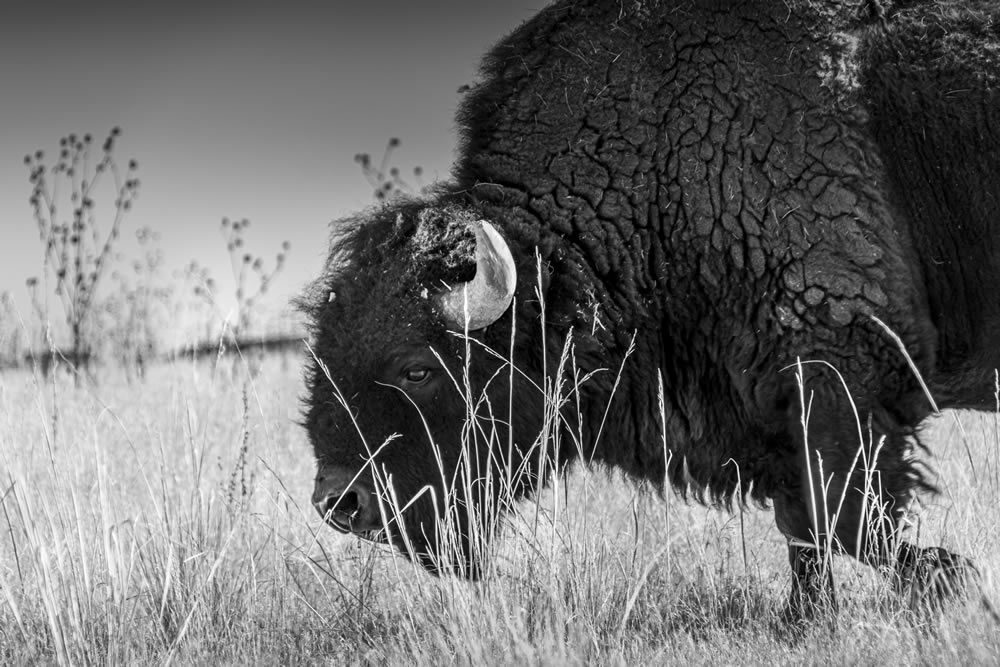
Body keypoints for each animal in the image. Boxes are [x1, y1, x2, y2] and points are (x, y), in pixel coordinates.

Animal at [302, 0, 1000, 620]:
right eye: (321, 360)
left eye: (417, 368)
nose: (340, 503)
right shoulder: (772, 410)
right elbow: (805, 525)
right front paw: (807, 618)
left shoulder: (839, 377)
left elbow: (846, 516)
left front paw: (954, 579)